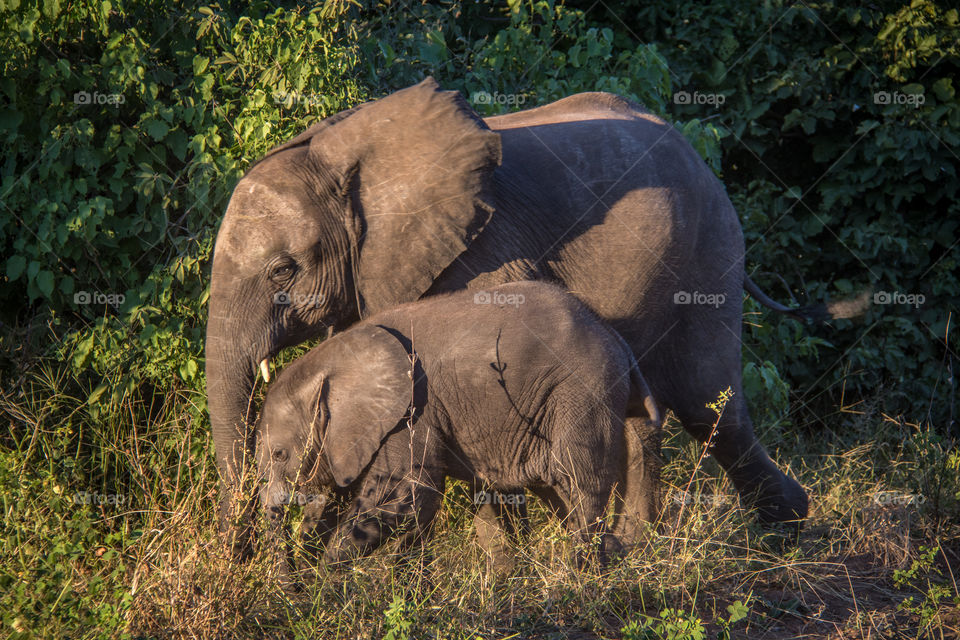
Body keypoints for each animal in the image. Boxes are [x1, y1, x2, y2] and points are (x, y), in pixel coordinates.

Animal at [255, 280, 660, 564]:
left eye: (279, 454)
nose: (294, 588)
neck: (332, 358)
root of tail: (614, 337)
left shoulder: (412, 411)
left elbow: (408, 497)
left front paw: (331, 576)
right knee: (557, 490)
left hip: (582, 390)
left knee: (578, 482)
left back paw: (580, 573)